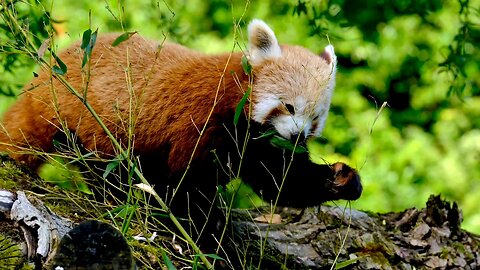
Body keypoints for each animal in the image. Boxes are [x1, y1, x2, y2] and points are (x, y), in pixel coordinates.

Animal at [0, 19, 360, 240]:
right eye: (288, 106)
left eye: (315, 116)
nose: (297, 136)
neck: (237, 103)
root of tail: (47, 75)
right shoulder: (205, 122)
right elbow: (187, 184)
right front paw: (207, 229)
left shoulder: (259, 143)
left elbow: (281, 181)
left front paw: (342, 179)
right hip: (89, 122)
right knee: (105, 169)